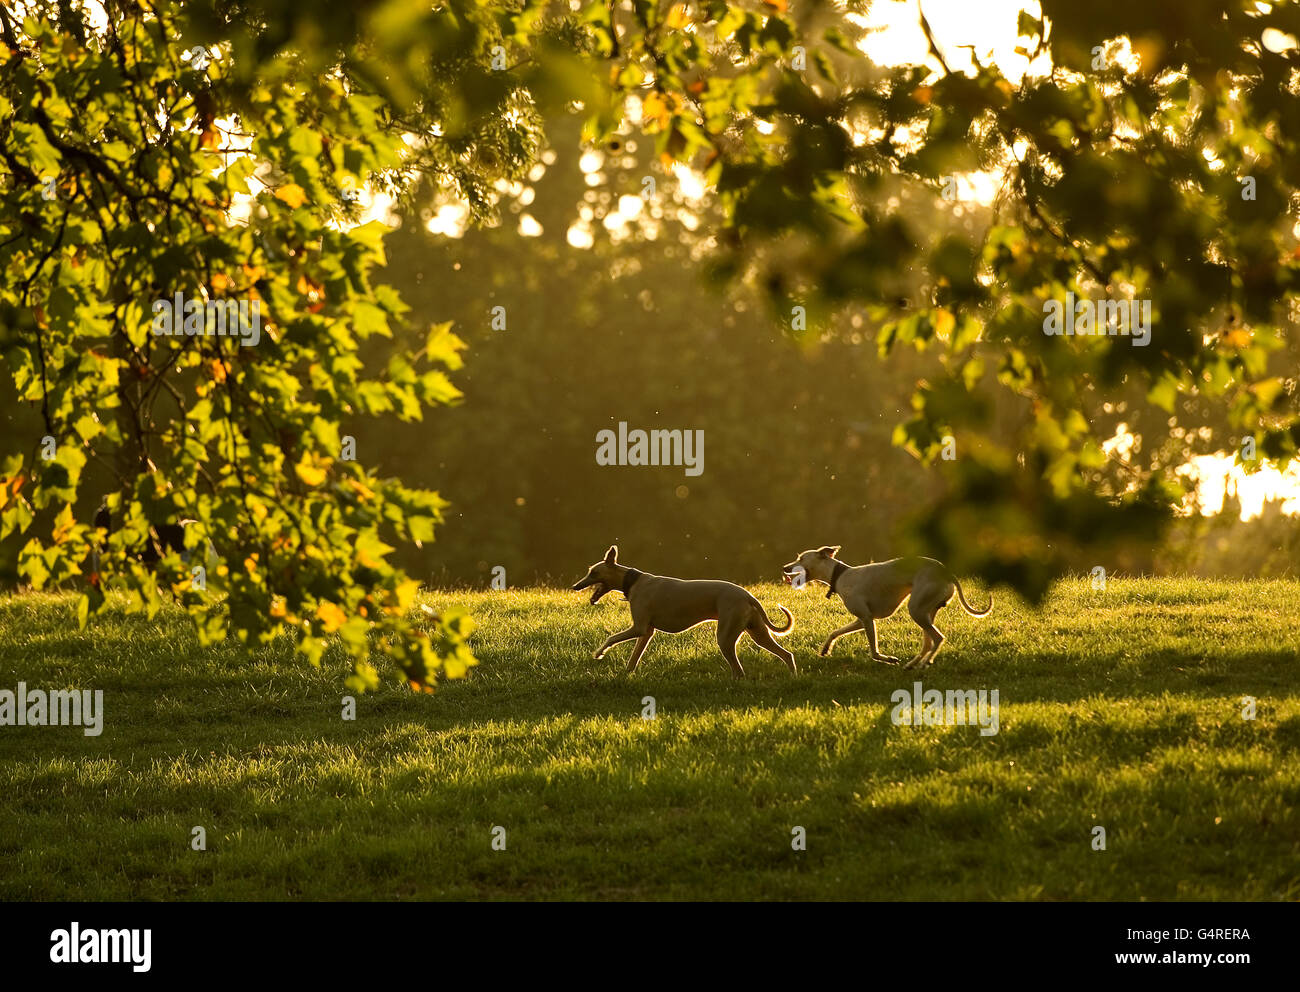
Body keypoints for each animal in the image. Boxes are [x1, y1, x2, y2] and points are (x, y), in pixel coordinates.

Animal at [574, 546, 795, 681]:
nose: (575, 586)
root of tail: (747, 595)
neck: (633, 581)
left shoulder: (638, 628)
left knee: (739, 670)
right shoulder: (646, 632)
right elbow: (633, 659)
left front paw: (598, 653)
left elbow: (611, 638)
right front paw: (627, 674)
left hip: (725, 637)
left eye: (593, 572)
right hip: (758, 633)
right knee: (786, 655)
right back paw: (793, 676)